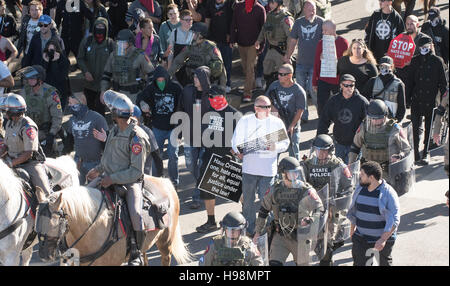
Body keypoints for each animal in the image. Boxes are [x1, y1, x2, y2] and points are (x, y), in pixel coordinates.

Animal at [33, 175, 192, 268]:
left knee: (166, 258)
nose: (44, 256)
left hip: (165, 242)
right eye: (36, 226)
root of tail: (165, 181)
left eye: (53, 224)